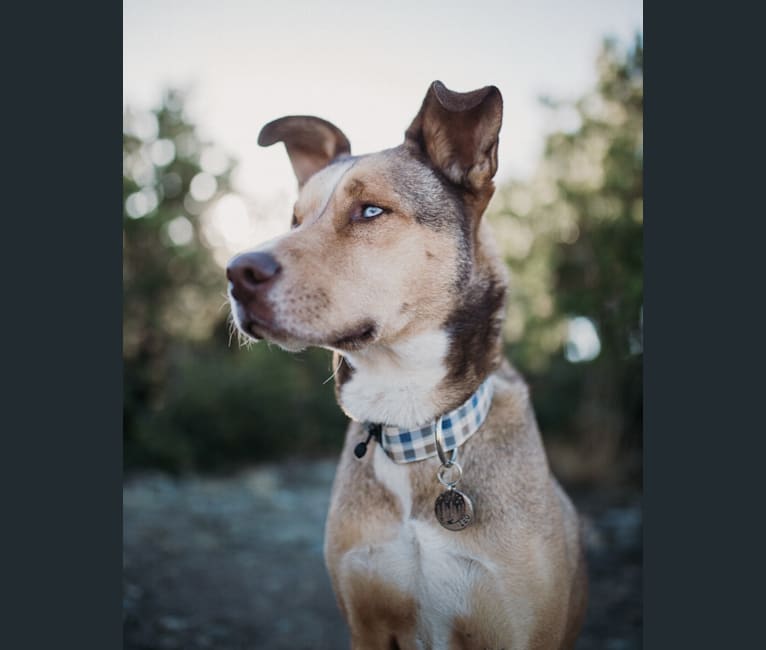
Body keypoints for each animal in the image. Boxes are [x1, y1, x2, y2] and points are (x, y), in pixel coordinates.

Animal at [226, 81, 588, 648]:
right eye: (295, 220)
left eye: (371, 212)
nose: (236, 273)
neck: (409, 423)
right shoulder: (367, 622)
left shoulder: (520, 629)